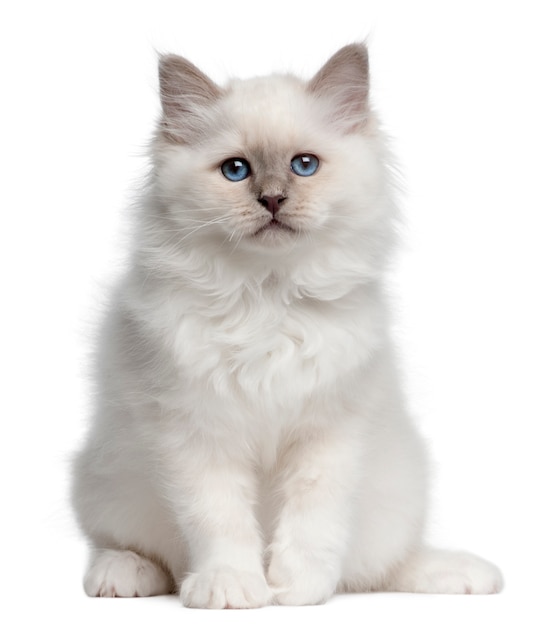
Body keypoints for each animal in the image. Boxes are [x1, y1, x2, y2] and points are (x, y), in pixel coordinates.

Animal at [70, 44, 502, 604]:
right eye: (236, 170)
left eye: (304, 165)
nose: (273, 199)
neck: (268, 298)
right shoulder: (197, 434)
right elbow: (220, 522)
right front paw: (232, 587)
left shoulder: (330, 434)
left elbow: (313, 523)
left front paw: (297, 591)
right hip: (104, 482)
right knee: (129, 548)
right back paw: (123, 575)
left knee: (385, 567)